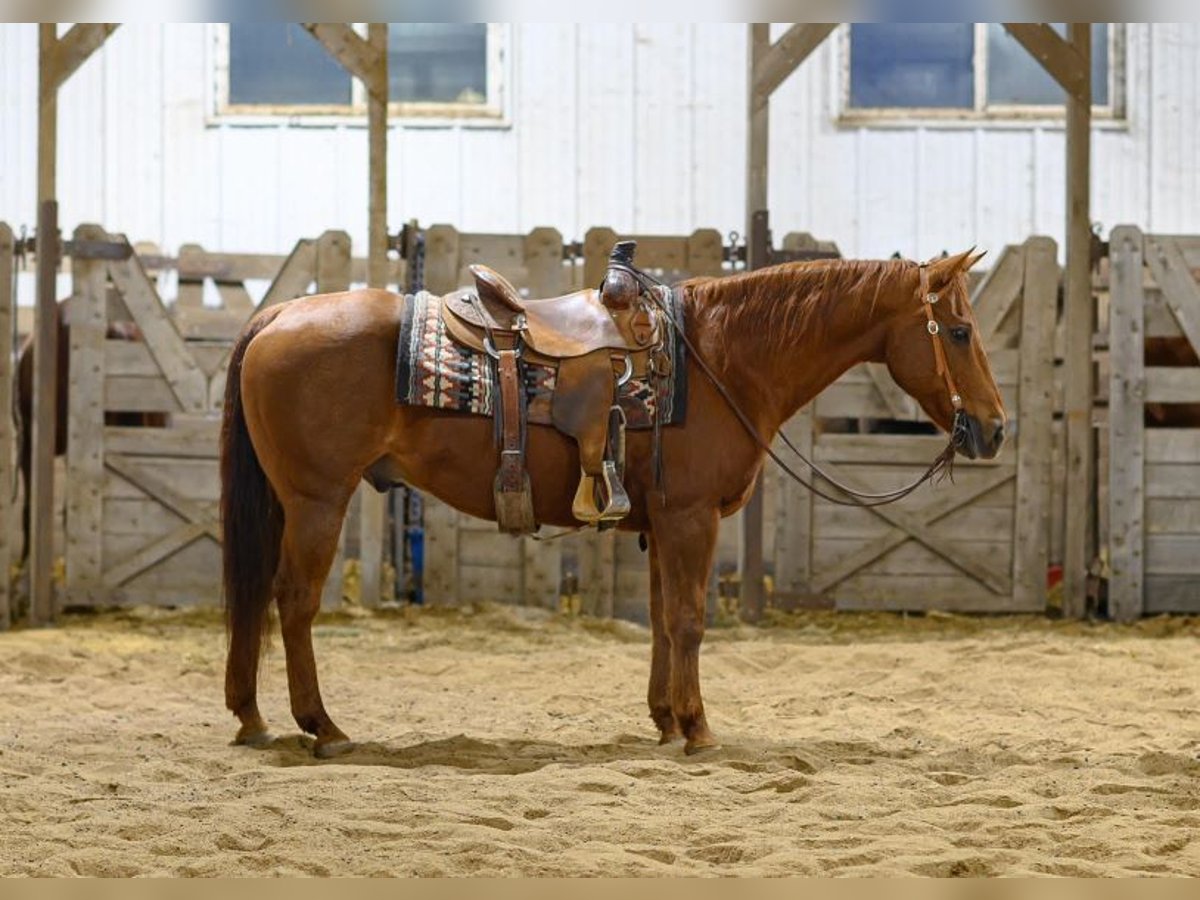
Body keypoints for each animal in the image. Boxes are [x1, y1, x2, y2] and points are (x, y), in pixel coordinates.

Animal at [220, 248, 1005, 757]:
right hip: (318, 499)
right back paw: (321, 726)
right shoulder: (691, 518)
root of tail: (278, 315)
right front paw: (698, 728)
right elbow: (689, 620)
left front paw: (665, 719)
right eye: (959, 331)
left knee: (256, 594)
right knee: (293, 601)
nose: (994, 428)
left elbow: (659, 619)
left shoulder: (662, 522)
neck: (721, 359)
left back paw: (252, 718)